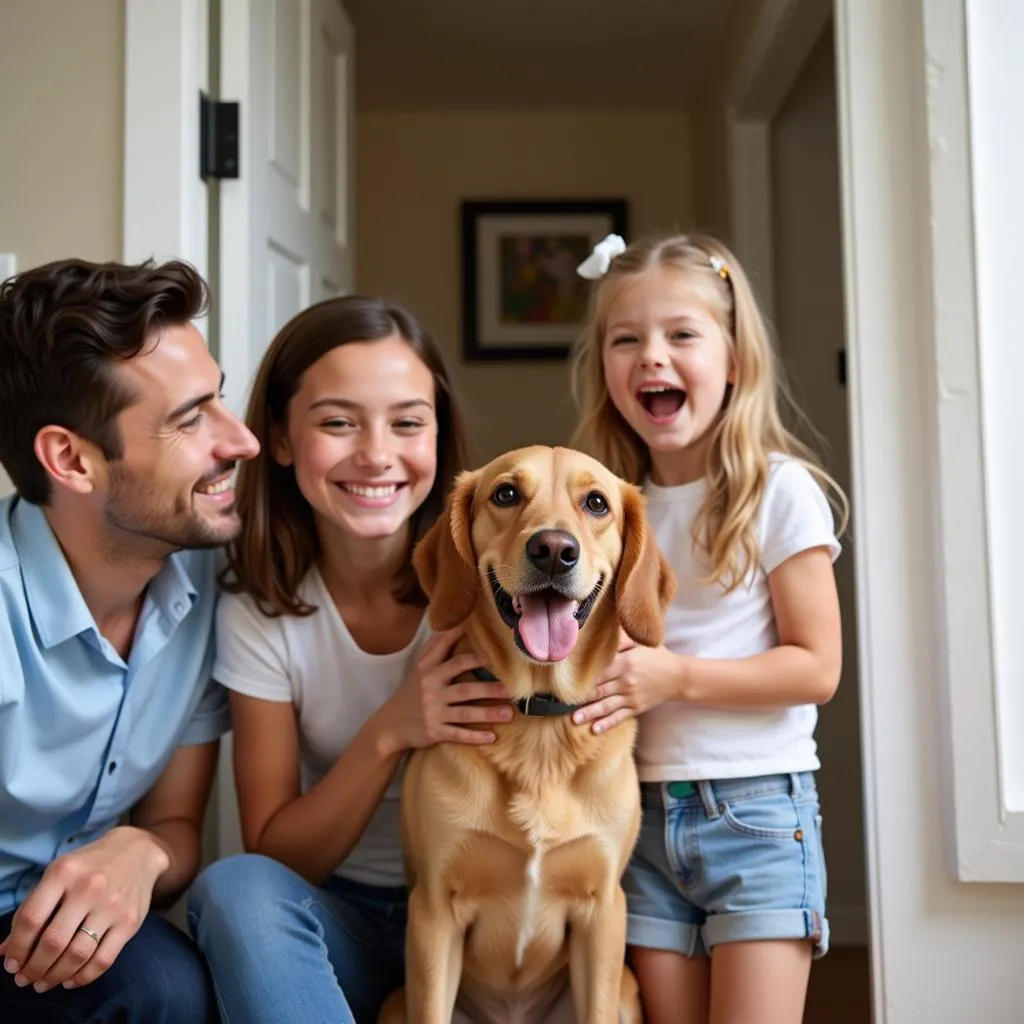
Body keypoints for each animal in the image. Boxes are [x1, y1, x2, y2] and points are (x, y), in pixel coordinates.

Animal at [380, 448, 675, 1024]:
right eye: (506, 494)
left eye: (596, 503)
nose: (554, 550)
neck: (540, 725)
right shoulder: (432, 913)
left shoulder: (604, 911)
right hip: (393, 1003)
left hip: (627, 992)